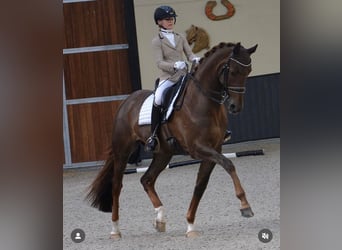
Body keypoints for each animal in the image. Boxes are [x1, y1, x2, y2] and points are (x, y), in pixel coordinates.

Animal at [85, 41, 256, 238]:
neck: (202, 102)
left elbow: (200, 185)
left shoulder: (214, 149)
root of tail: (126, 102)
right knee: (116, 186)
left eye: (249, 71)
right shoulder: (198, 148)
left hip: (163, 153)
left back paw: (160, 219)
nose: (235, 107)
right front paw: (245, 205)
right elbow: (229, 164)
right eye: (234, 71)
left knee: (147, 179)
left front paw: (190, 225)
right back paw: (115, 230)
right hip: (122, 152)